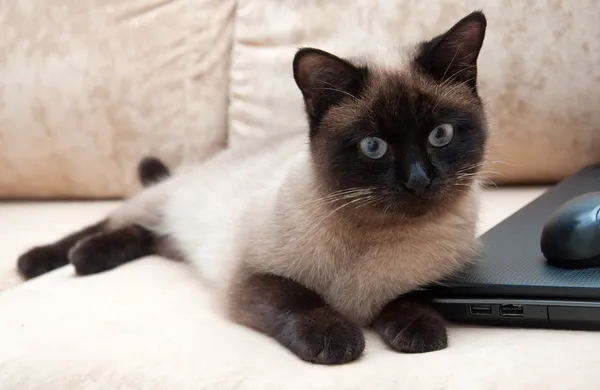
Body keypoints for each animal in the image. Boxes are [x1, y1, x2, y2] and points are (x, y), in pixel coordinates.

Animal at [17, 12, 488, 366]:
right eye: (374, 147)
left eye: (441, 135)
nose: (418, 180)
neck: (378, 238)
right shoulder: (253, 277)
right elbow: (302, 302)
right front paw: (337, 338)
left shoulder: (436, 283)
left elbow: (412, 300)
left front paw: (419, 331)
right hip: (158, 204)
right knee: (107, 224)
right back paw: (48, 261)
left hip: (171, 237)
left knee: (145, 237)